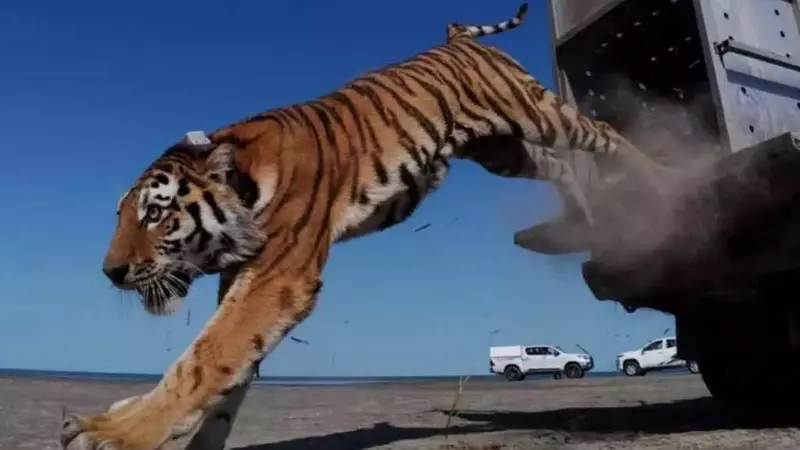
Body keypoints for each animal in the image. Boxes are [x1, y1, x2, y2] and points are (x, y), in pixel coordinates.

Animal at [61, 3, 673, 449]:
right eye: (121, 214)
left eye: (154, 212)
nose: (111, 272)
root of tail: (457, 38)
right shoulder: (244, 280)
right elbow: (229, 374)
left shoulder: (277, 279)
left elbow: (202, 360)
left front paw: (113, 433)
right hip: (503, 149)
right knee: (560, 164)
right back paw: (582, 216)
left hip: (536, 112)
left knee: (601, 134)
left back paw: (664, 178)